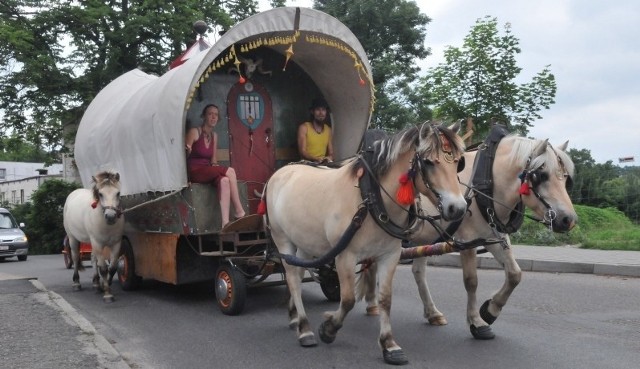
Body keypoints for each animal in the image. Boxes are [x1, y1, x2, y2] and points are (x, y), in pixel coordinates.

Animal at [63, 170, 125, 302]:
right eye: (100, 194)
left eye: (118, 193)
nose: (110, 216)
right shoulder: (98, 243)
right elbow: (103, 268)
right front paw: (107, 294)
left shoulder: (116, 243)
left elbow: (112, 267)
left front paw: (104, 285)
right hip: (72, 238)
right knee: (75, 258)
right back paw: (76, 283)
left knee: (93, 258)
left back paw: (96, 283)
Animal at [362, 124, 576, 340]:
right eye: (541, 175)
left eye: (566, 178)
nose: (569, 220)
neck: (487, 182)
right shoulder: (467, 240)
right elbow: (471, 281)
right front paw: (477, 322)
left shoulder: (494, 236)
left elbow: (515, 274)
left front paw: (490, 311)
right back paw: (373, 303)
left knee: (416, 272)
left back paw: (429, 312)